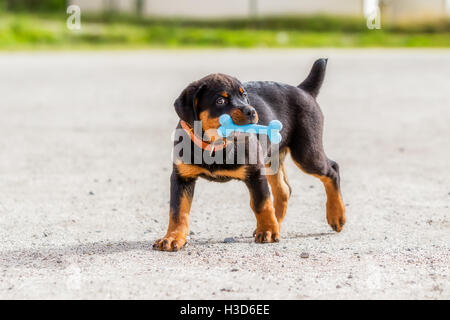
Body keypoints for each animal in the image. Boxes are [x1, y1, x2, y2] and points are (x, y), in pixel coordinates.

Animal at [153, 58, 346, 251]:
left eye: (244, 95)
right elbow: (178, 211)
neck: (214, 145)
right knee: (284, 190)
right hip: (272, 159)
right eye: (220, 101)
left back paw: (336, 215)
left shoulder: (255, 172)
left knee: (332, 169)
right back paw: (279, 223)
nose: (251, 111)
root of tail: (303, 90)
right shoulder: (182, 177)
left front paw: (268, 231)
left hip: (306, 153)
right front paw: (173, 237)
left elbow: (262, 203)